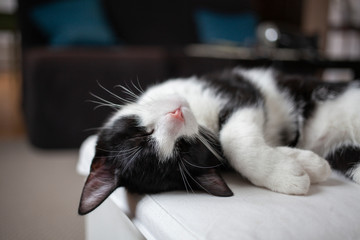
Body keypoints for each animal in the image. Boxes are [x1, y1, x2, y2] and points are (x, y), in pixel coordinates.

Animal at [78, 67, 360, 216]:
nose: (177, 115)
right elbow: (232, 144)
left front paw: (301, 166)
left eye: (141, 137)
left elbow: (231, 137)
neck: (202, 119)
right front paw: (302, 168)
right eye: (182, 149)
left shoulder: (234, 88)